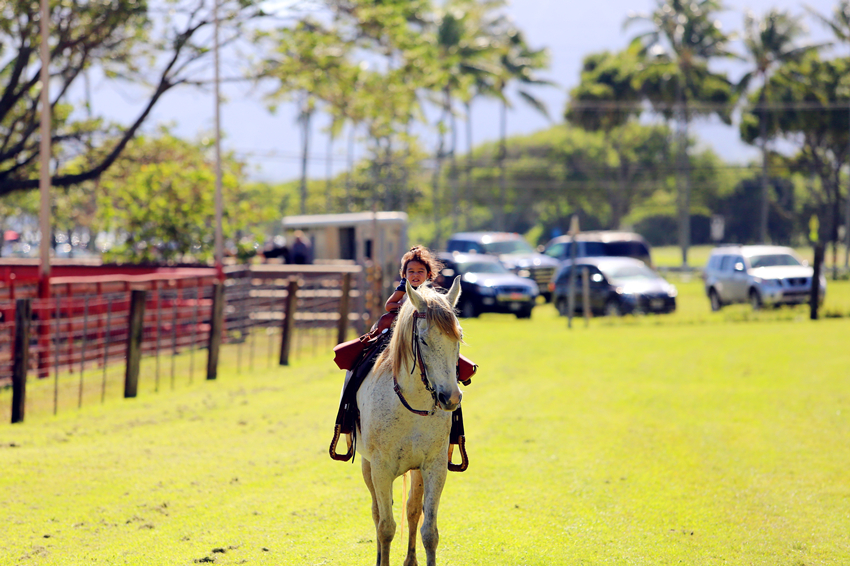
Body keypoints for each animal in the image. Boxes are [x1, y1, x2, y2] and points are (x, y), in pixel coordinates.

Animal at [356, 280, 468, 566]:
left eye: (458, 338)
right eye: (424, 340)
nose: (451, 397)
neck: (413, 404)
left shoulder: (434, 467)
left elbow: (429, 530)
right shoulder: (381, 469)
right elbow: (385, 527)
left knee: (413, 511)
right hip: (367, 465)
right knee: (377, 513)